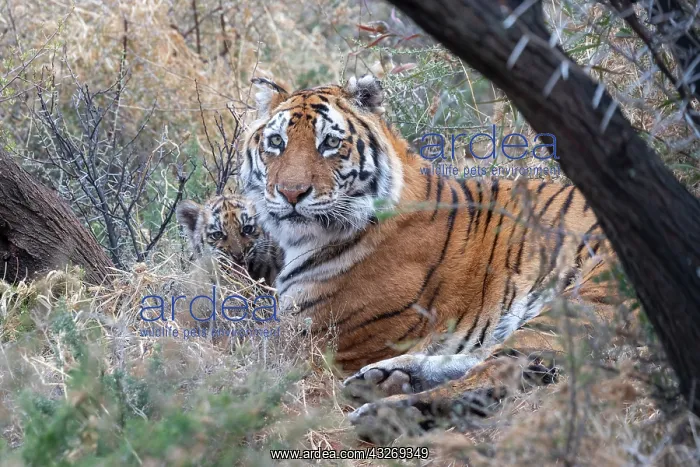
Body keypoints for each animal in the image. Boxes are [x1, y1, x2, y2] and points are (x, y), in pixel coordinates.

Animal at [238, 75, 621, 425]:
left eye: (330, 142)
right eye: (277, 142)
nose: (291, 193)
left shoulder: (315, 341)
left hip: (580, 302)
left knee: (502, 367)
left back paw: (389, 411)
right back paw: (388, 378)